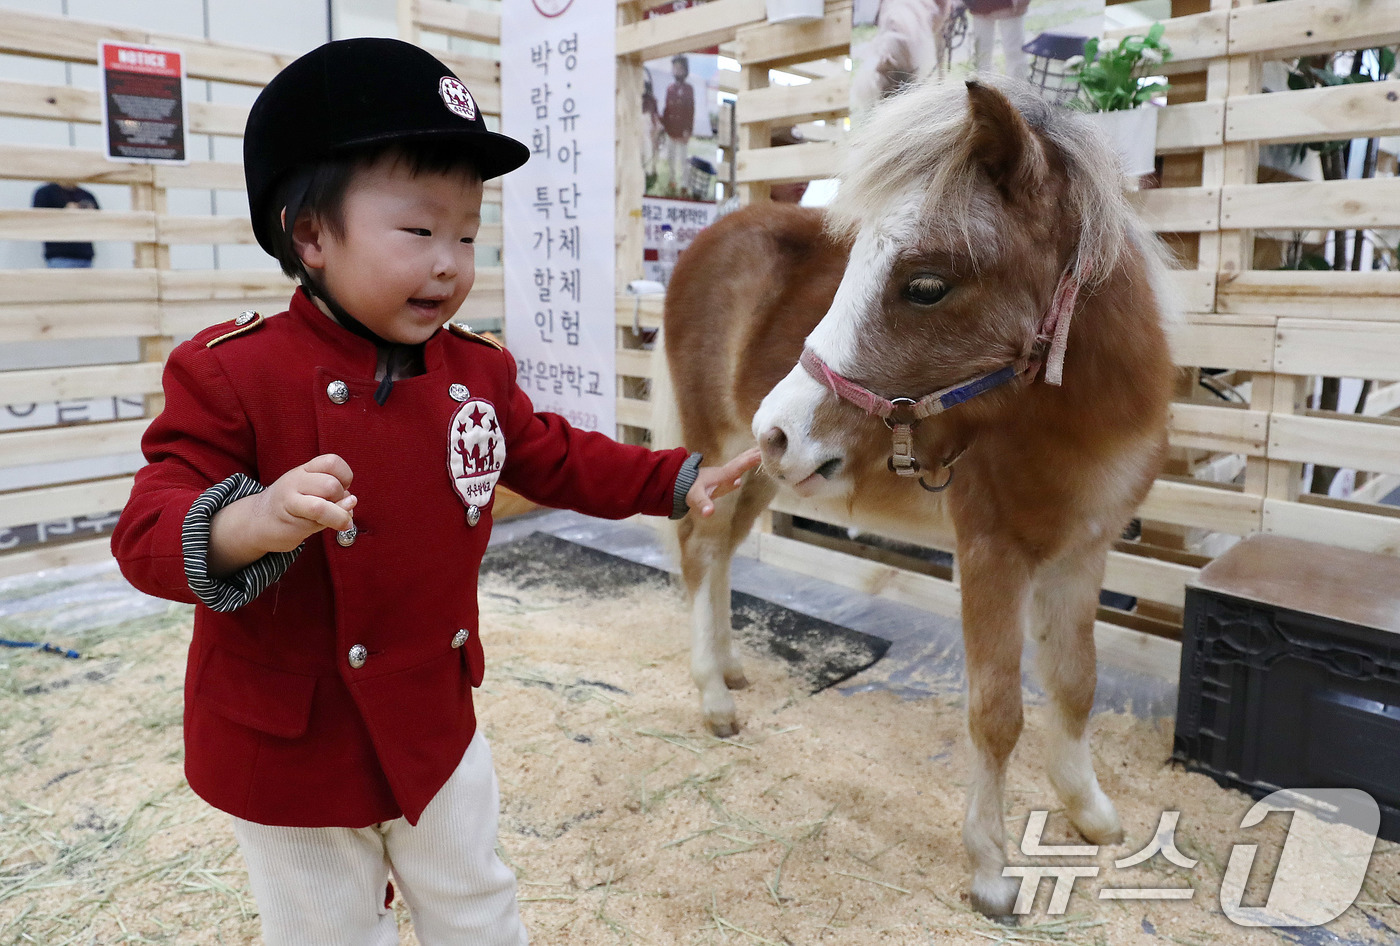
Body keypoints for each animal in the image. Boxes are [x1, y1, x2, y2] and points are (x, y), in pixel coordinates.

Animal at [660, 77, 1176, 912]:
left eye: (926, 285)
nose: (780, 427)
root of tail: (713, 233)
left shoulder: (1082, 552)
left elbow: (1076, 684)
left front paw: (1091, 813)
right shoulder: (992, 554)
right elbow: (997, 713)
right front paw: (992, 870)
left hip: (758, 474)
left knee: (725, 552)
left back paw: (733, 669)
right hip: (725, 444)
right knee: (700, 551)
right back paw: (714, 698)